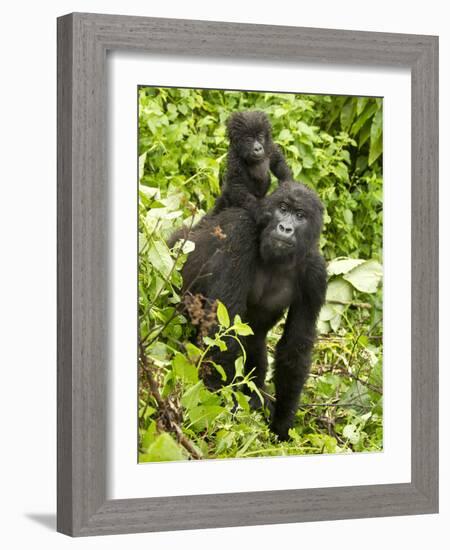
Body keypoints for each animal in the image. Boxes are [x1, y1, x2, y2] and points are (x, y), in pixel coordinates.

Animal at [176, 183, 326, 442]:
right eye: (283, 208)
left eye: (300, 215)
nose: (285, 228)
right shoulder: (241, 231)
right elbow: (224, 325)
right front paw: (217, 402)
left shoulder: (316, 273)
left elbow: (295, 348)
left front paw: (281, 424)